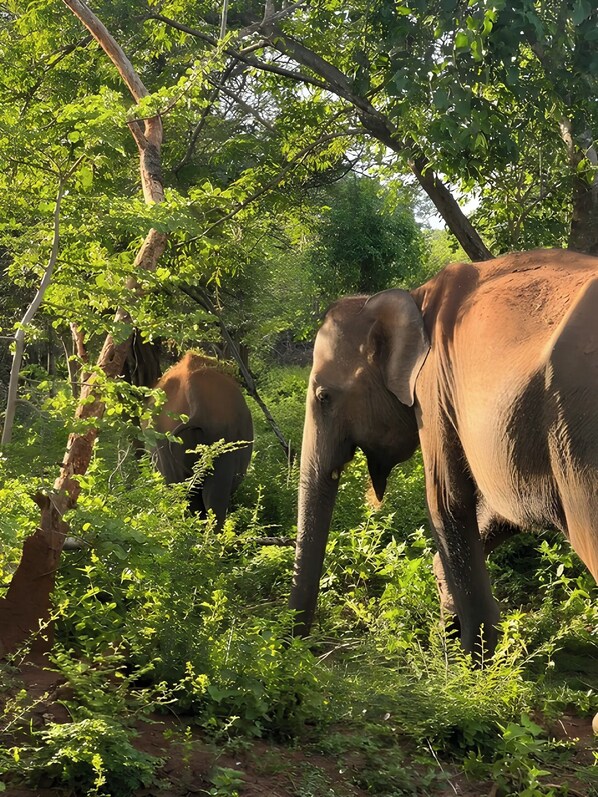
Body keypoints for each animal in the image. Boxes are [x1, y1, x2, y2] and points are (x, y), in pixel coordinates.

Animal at [290, 248, 598, 666]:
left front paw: (471, 663)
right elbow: (504, 507)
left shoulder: (433, 385)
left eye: (324, 397)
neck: (412, 296)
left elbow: (446, 501)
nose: (302, 649)